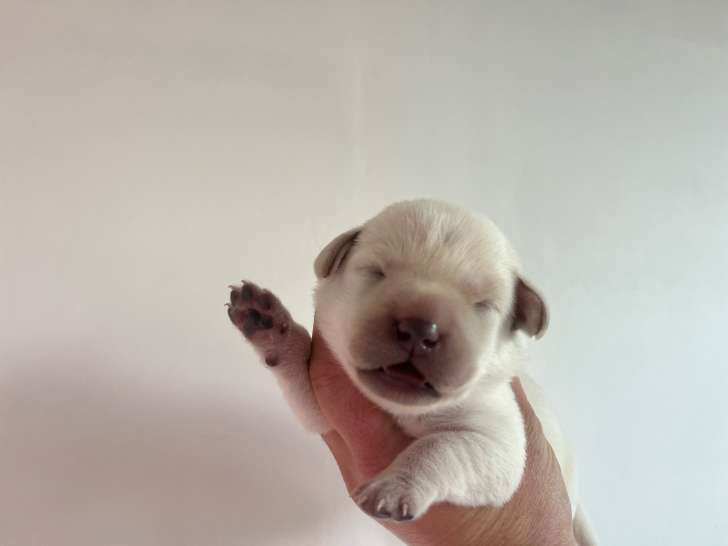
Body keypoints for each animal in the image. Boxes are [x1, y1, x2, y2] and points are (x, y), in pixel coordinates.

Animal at [227, 199, 596, 543]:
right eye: (376, 272)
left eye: (483, 305)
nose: (420, 329)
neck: (400, 408)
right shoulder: (325, 404)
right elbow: (302, 382)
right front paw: (271, 327)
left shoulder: (498, 442)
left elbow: (439, 447)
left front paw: (393, 487)